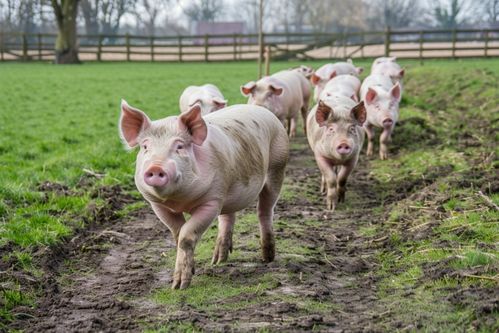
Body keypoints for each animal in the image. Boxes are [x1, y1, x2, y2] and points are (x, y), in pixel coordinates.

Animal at [119, 100, 290, 288]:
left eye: (179, 146)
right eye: (145, 147)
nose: (156, 167)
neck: (179, 201)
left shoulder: (212, 201)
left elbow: (186, 235)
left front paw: (179, 286)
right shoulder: (158, 206)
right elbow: (178, 234)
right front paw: (185, 277)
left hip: (277, 167)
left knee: (265, 210)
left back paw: (267, 258)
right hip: (228, 189)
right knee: (228, 217)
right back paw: (218, 261)